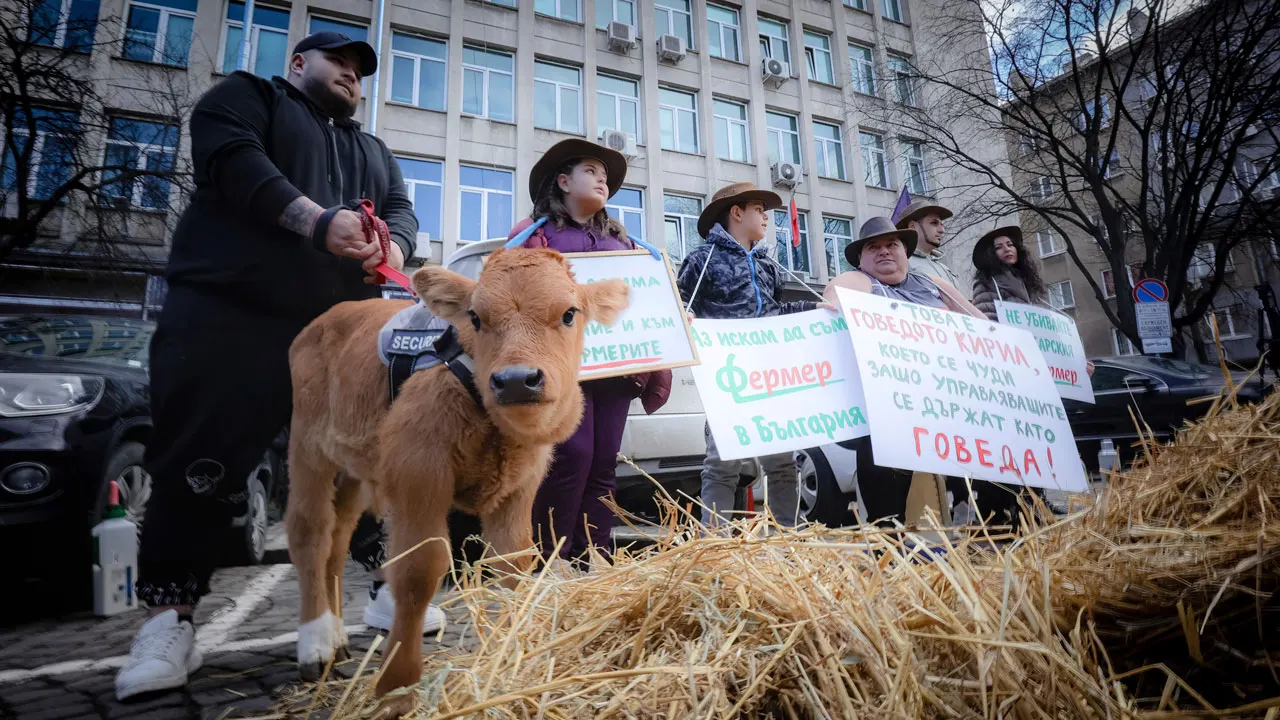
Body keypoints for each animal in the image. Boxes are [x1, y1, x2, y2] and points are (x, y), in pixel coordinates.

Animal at [284, 248, 624, 712]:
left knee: (337, 542)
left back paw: (336, 638)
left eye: (569, 314)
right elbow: (418, 570)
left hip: (353, 468)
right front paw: (397, 687)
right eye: (476, 317)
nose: (516, 380)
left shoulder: (521, 487)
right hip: (308, 446)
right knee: (310, 532)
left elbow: (513, 562)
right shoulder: (417, 473)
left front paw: (509, 658)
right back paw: (316, 644)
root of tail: (326, 319)